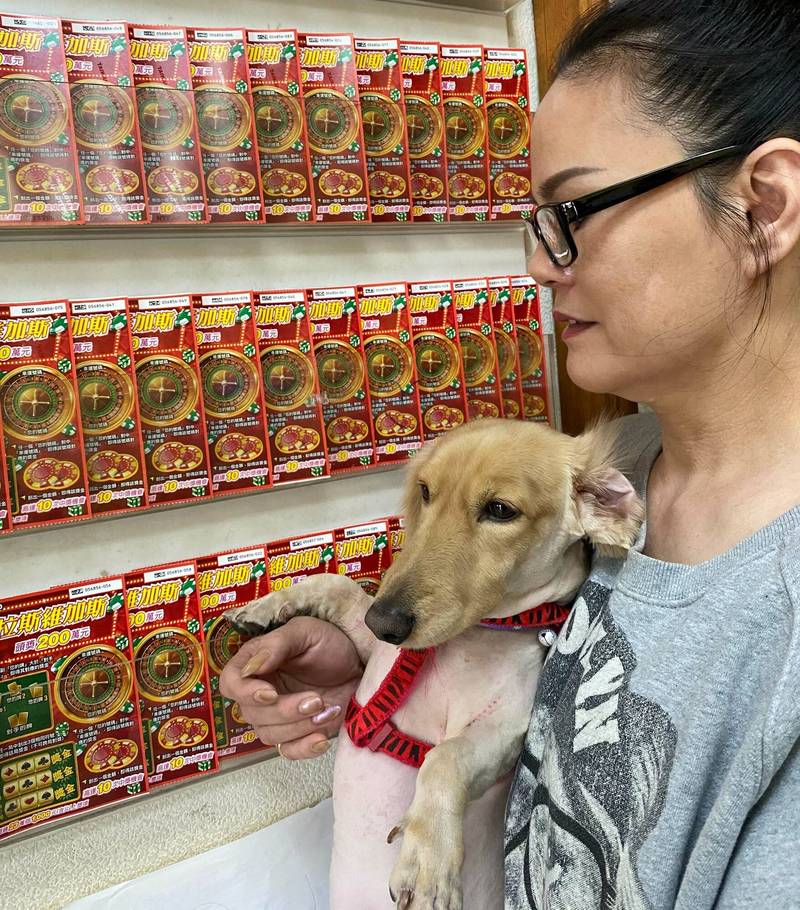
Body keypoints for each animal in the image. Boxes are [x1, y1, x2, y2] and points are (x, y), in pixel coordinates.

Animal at [225, 418, 643, 910]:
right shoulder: (374, 648)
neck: (464, 639)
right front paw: (267, 606)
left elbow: (444, 758)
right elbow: (335, 586)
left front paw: (428, 859)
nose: (384, 621)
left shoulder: (508, 729)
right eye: (425, 491)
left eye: (500, 510)